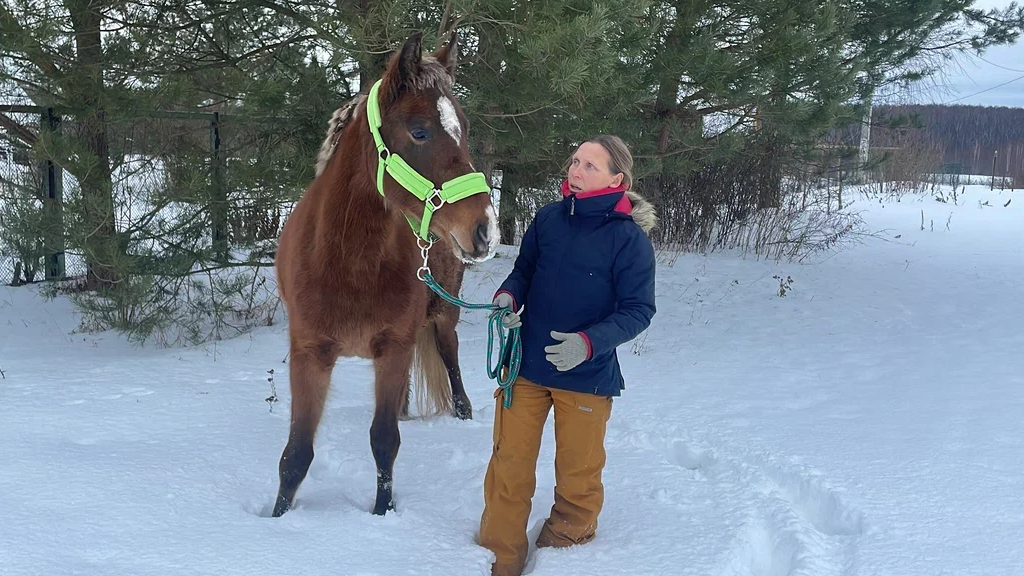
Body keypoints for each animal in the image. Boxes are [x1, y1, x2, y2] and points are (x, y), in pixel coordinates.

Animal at [270, 30, 497, 516]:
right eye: (419, 131)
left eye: (465, 128)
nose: (485, 228)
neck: (349, 262)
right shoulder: (309, 355)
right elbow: (296, 454)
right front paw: (277, 518)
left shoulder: (393, 348)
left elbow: (383, 442)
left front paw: (383, 514)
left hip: (443, 318)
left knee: (449, 360)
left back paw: (462, 412)